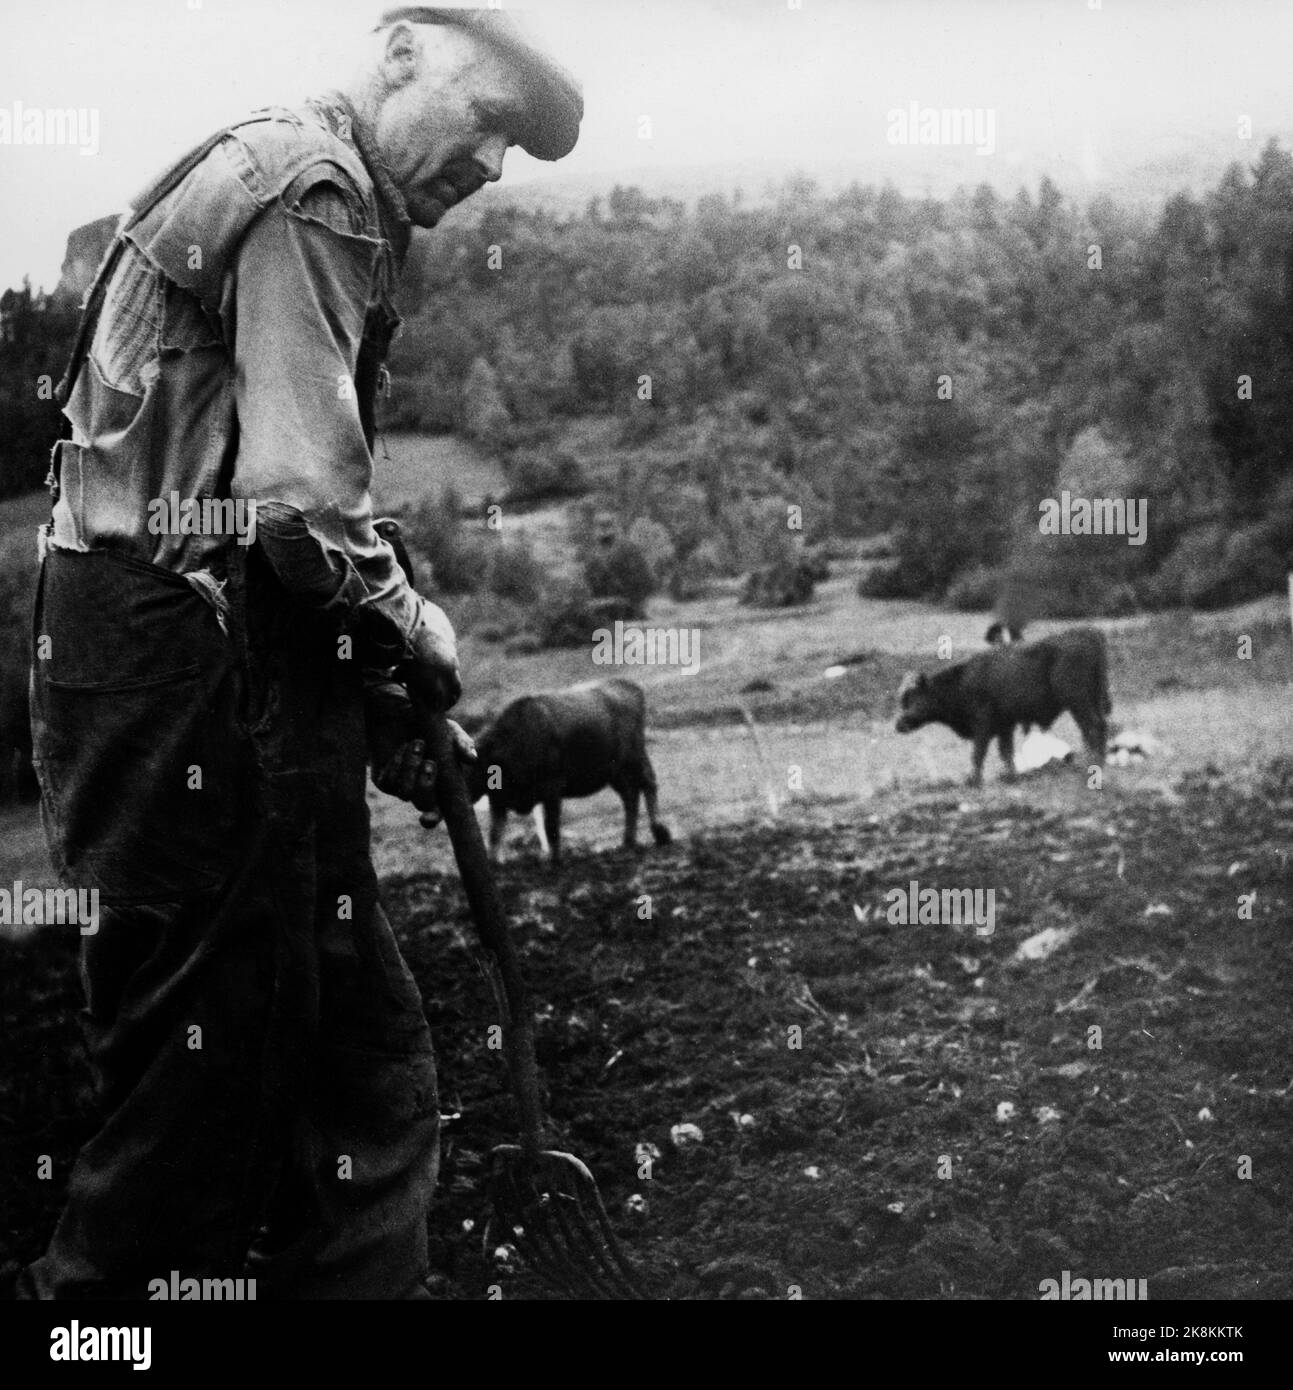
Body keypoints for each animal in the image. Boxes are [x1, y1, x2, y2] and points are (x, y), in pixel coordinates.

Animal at [464, 678, 670, 861]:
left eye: (467, 768)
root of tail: (630, 687)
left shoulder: (552, 788)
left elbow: (551, 827)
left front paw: (554, 859)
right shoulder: (498, 800)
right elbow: (495, 834)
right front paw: (495, 863)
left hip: (635, 757)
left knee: (648, 783)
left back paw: (660, 832)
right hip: (615, 771)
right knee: (630, 796)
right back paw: (628, 841)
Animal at [895, 628, 1106, 783]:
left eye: (911, 697)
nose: (899, 724)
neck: (960, 682)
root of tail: (1088, 633)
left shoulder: (983, 725)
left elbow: (979, 752)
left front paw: (973, 780)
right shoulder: (1005, 725)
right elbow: (1006, 752)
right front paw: (1009, 775)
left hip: (1077, 701)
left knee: (1091, 726)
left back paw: (1090, 762)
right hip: (1092, 700)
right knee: (1099, 725)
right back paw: (1100, 760)